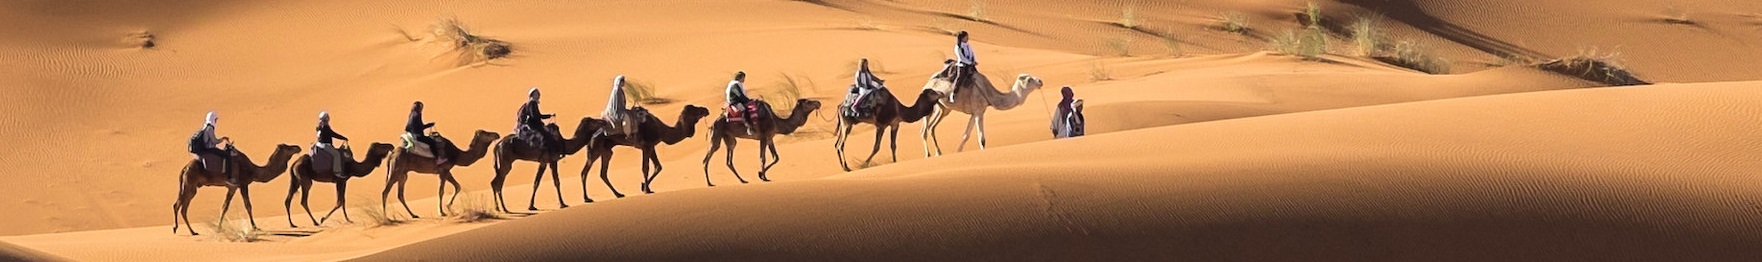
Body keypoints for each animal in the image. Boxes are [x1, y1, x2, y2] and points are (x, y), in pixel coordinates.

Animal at [171, 143, 299, 235]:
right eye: (287, 147)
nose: (298, 147)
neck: (253, 170)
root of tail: (185, 168)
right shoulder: (243, 184)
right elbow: (248, 205)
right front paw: (255, 227)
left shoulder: (232, 187)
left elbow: (224, 206)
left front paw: (219, 227)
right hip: (190, 184)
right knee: (180, 206)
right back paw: (185, 230)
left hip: (189, 186)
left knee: (180, 206)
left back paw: (186, 230)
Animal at [581, 104, 711, 196]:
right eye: (695, 110)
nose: (706, 109)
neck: (661, 130)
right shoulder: (646, 146)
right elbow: (645, 168)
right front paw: (646, 190)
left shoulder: (651, 146)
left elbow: (658, 167)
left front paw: (644, 186)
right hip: (595, 148)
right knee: (584, 172)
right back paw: (587, 198)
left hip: (606, 150)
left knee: (603, 173)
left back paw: (618, 194)